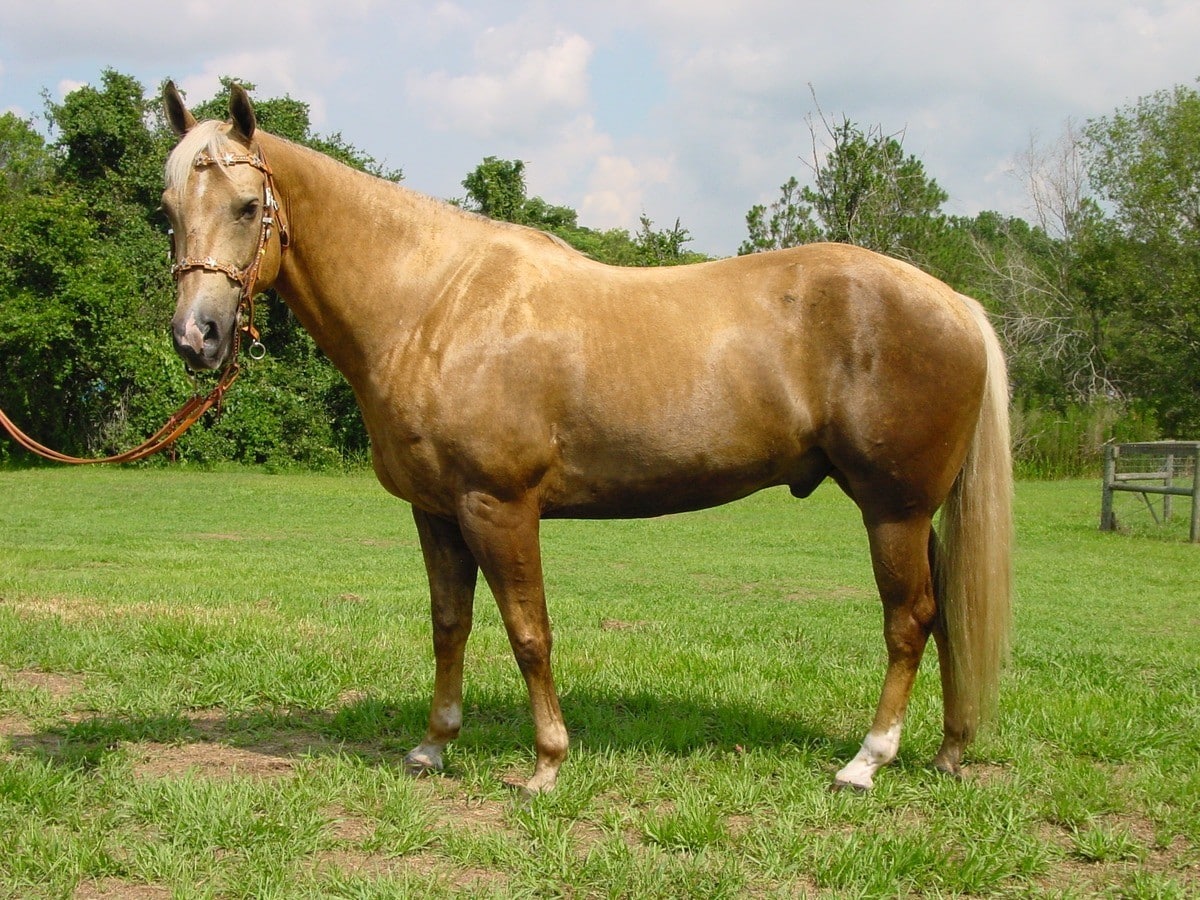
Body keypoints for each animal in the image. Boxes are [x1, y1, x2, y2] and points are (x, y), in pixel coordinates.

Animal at [161, 82, 1012, 795]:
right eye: (168, 208)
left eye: (247, 206)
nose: (196, 337)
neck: (434, 304)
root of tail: (956, 305)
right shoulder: (436, 512)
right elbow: (449, 626)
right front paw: (434, 746)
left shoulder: (499, 507)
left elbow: (528, 632)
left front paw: (545, 763)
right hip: (914, 515)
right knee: (941, 618)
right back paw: (947, 750)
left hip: (892, 510)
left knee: (909, 621)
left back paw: (866, 762)